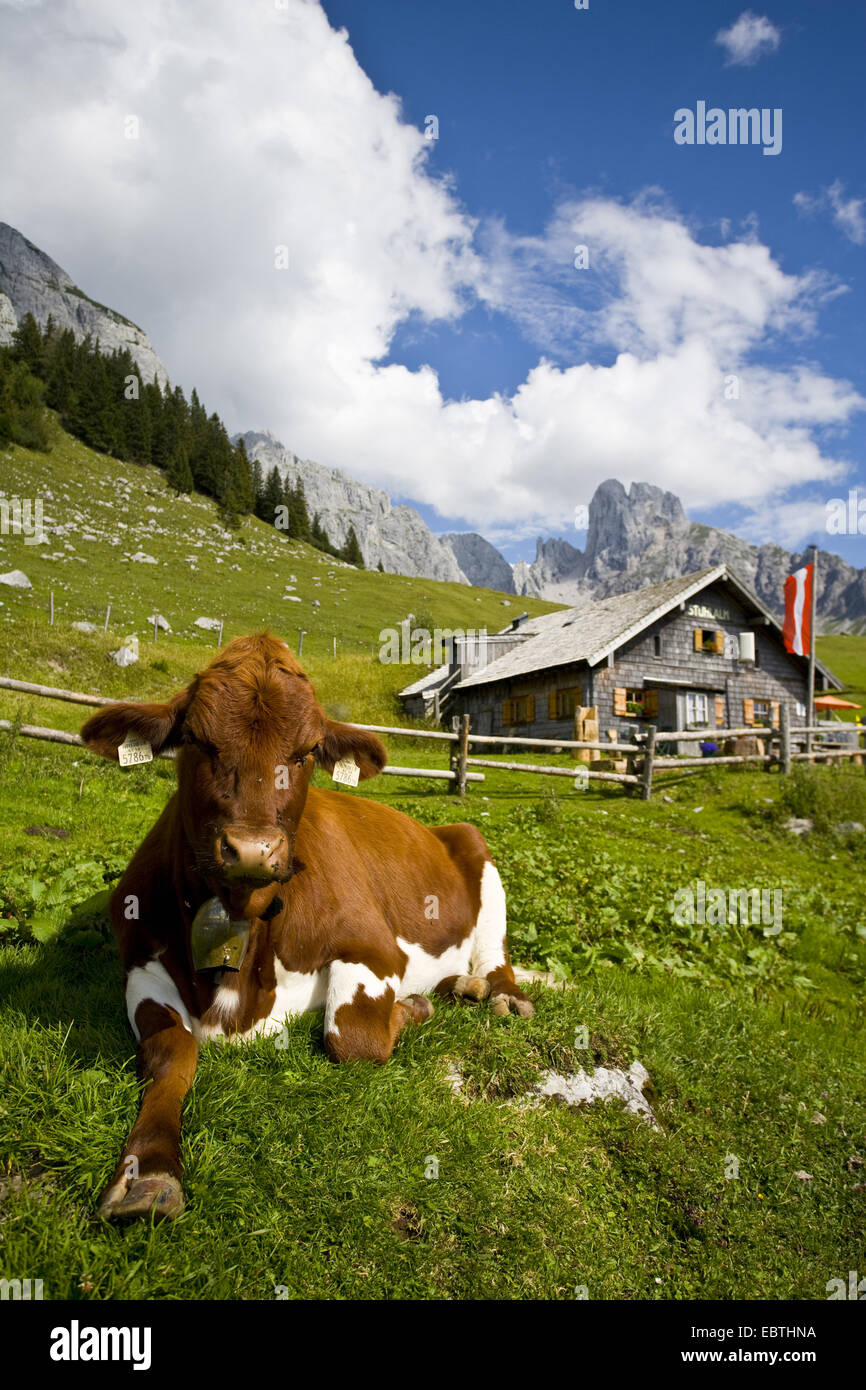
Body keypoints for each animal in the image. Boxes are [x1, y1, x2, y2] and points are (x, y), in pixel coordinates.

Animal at [84, 631, 539, 1217]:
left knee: (496, 956)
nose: (252, 849)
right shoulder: (140, 961)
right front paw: (148, 1171)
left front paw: (413, 1007)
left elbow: (352, 1040)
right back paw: (461, 985)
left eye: (304, 754)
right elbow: (172, 1050)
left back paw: (498, 994)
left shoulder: (373, 948)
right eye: (198, 741)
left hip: (477, 851)